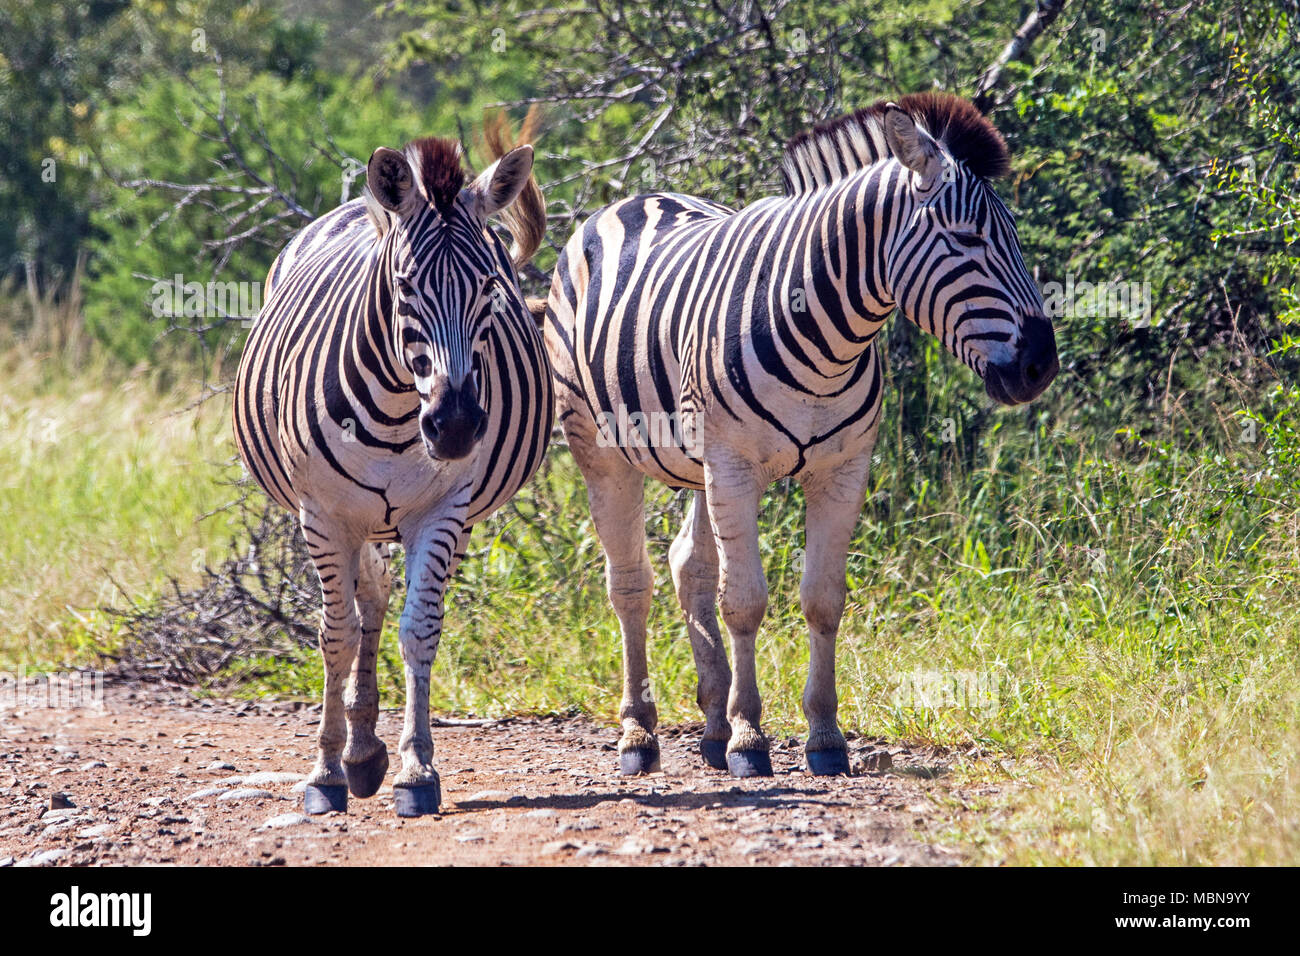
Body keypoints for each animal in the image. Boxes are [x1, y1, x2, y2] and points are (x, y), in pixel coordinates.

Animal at [233, 117, 553, 816]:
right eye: (405, 285)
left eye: (490, 287)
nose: (456, 426)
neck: (398, 411)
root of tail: (363, 205)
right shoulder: (322, 514)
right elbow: (336, 635)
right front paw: (325, 771)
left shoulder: (444, 511)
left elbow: (419, 630)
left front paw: (416, 768)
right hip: (351, 519)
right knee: (361, 605)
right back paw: (353, 752)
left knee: (380, 599)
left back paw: (367, 749)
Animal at [543, 91, 1060, 780]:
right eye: (966, 238)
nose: (1041, 366)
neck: (828, 339)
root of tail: (634, 199)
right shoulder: (735, 466)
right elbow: (745, 601)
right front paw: (749, 738)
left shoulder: (841, 470)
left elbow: (822, 600)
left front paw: (823, 735)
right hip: (603, 451)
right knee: (630, 584)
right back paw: (640, 734)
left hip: (695, 464)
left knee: (689, 567)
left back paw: (710, 724)